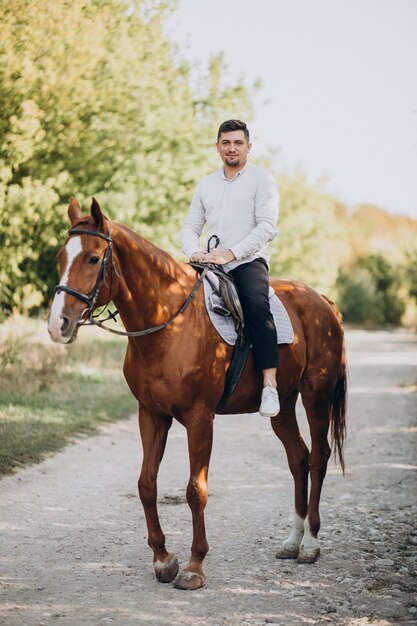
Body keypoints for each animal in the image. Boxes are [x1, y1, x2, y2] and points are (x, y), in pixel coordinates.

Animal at [47, 197, 346, 588]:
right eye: (60, 257)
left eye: (94, 258)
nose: (58, 324)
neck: (171, 325)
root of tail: (322, 301)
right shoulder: (151, 414)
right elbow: (146, 484)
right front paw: (163, 560)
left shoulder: (200, 418)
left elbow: (195, 490)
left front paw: (194, 566)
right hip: (282, 406)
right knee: (298, 458)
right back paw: (292, 542)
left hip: (316, 397)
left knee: (319, 458)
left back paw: (310, 543)